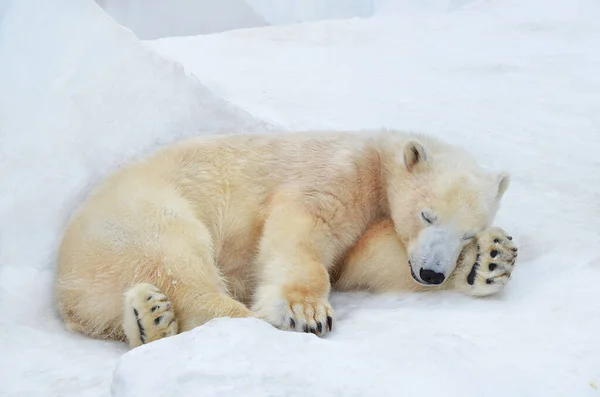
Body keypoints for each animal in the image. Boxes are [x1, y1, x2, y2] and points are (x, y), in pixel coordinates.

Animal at [54, 129, 516, 346]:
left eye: (467, 231)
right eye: (426, 214)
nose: (431, 273)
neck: (377, 159)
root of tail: (66, 285)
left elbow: (368, 258)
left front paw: (489, 260)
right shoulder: (338, 173)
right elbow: (306, 227)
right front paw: (304, 312)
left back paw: (149, 320)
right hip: (141, 218)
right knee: (179, 264)